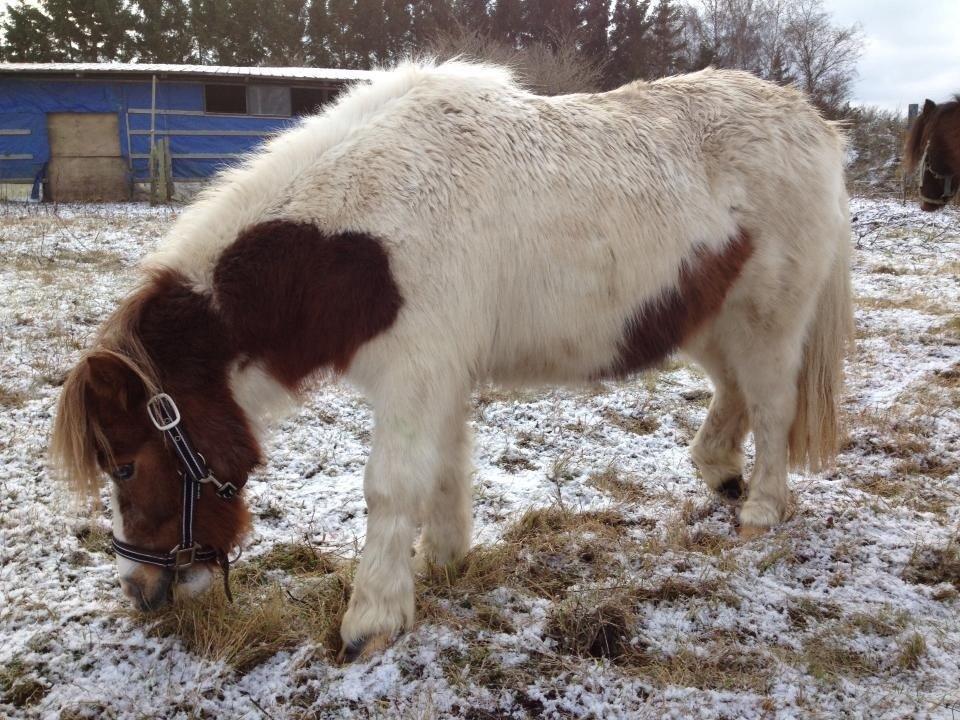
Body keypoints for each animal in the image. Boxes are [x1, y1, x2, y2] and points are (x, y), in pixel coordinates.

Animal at [48, 60, 852, 660]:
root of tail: (815, 125)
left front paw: (372, 620)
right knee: (736, 392)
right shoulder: (438, 375)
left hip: (769, 317)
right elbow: (442, 471)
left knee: (773, 405)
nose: (140, 593)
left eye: (125, 466)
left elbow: (390, 486)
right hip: (709, 321)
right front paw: (444, 562)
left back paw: (760, 510)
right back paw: (720, 475)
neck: (362, 235)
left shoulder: (416, 372)